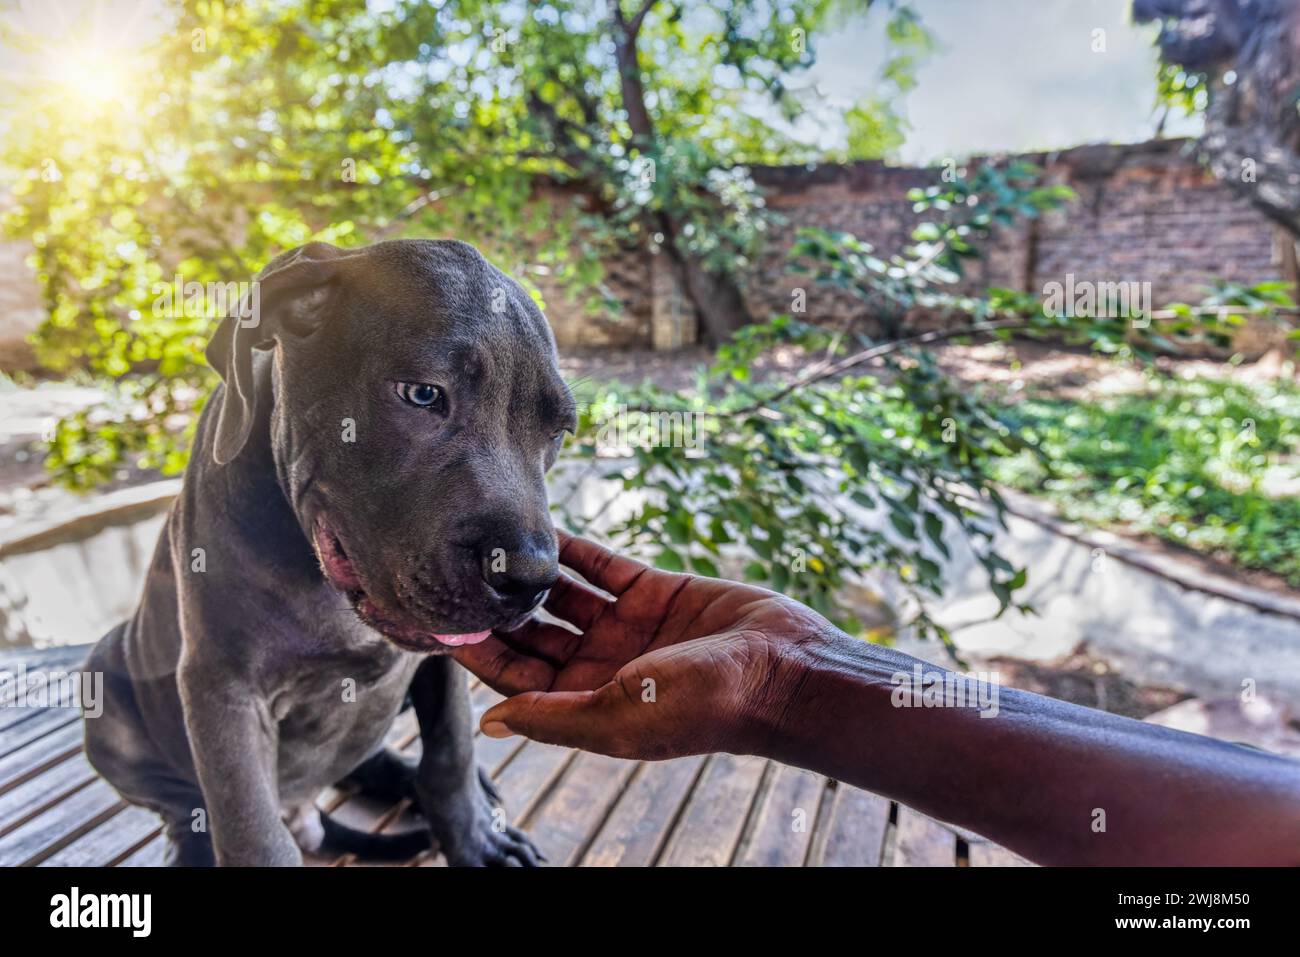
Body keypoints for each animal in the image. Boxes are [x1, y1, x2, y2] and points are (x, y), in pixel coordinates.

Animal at [81, 239, 569, 868]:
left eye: (558, 431)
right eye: (423, 393)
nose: (531, 579)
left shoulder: (444, 661)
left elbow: (451, 751)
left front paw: (477, 839)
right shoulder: (224, 688)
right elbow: (252, 833)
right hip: (106, 674)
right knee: (181, 806)